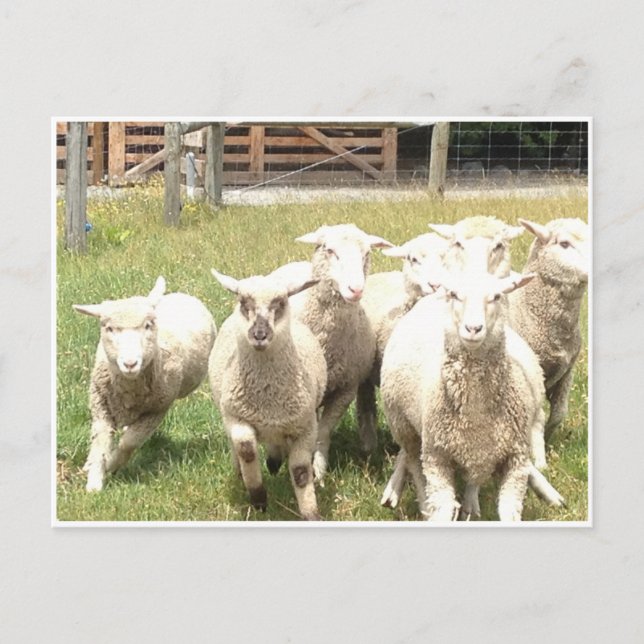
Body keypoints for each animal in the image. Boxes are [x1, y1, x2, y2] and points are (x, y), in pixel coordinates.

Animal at [73, 277, 217, 492]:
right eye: (109, 328)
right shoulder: (101, 406)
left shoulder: (156, 411)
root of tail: (182, 295)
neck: (130, 389)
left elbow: (128, 443)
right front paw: (94, 482)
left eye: (148, 325)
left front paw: (111, 465)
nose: (130, 363)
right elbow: (100, 441)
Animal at [208, 268, 326, 520]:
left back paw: (274, 461)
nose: (259, 334)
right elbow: (246, 449)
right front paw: (258, 498)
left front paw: (311, 513)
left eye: (280, 303)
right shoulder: (236, 417)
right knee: (239, 449)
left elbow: (301, 472)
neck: (267, 397)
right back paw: (244, 473)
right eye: (244, 303)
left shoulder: (305, 428)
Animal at [290, 223, 393, 482]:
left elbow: (323, 432)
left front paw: (318, 471)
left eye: (367, 253)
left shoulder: (346, 388)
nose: (355, 289)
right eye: (329, 250)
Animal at [380, 271, 563, 521]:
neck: (475, 413)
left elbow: (509, 510)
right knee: (413, 463)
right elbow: (442, 505)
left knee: (473, 477)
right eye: (455, 294)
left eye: (496, 296)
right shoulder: (437, 457)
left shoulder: (515, 458)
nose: (473, 328)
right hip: (404, 427)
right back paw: (422, 504)